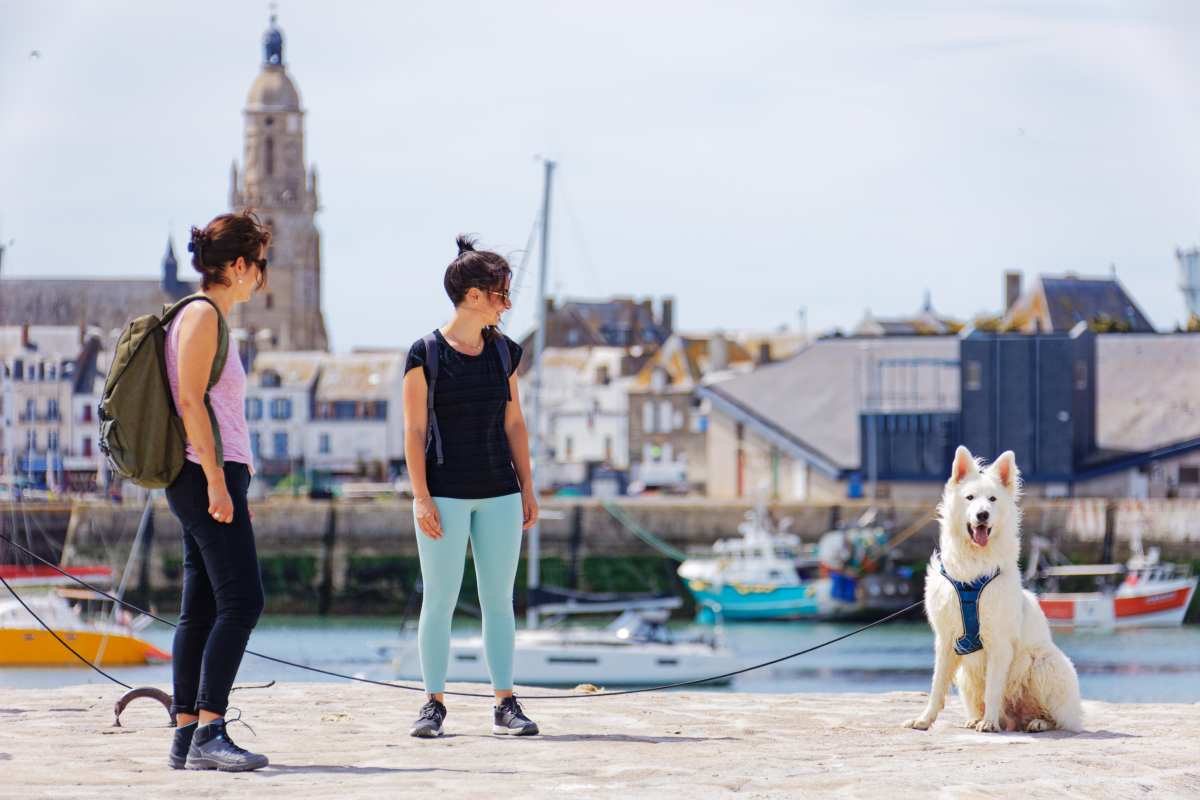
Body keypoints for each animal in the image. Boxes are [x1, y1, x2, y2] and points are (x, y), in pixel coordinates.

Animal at [902, 448, 1089, 734]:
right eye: (970, 498)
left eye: (992, 499)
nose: (982, 515)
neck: (972, 572)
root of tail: (1015, 720)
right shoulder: (945, 640)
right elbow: (936, 687)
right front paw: (924, 719)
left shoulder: (998, 641)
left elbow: (992, 688)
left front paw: (989, 722)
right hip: (966, 676)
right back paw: (978, 719)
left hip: (1044, 661)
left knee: (1059, 720)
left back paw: (1035, 722)